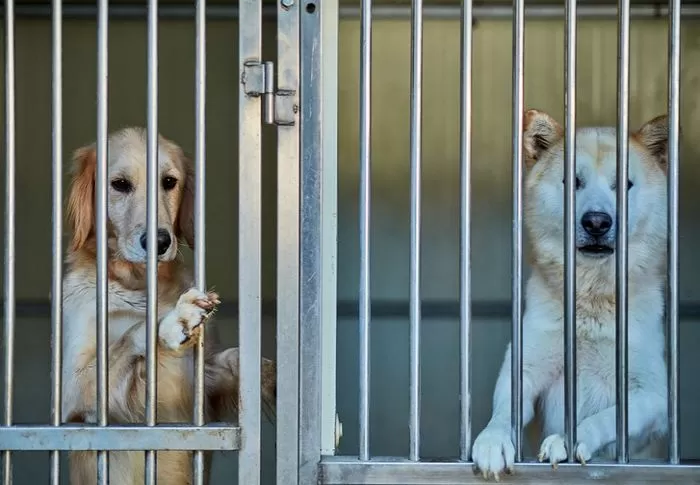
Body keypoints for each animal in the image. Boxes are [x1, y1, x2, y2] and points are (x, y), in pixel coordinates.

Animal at [61, 126, 276, 482]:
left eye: (169, 181)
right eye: (120, 184)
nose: (159, 241)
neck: (139, 284)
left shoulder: (201, 382)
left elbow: (230, 360)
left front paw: (267, 374)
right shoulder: (72, 395)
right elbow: (131, 335)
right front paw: (175, 320)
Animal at [470, 110, 672, 480]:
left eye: (624, 184)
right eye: (572, 182)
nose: (597, 222)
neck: (592, 298)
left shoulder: (655, 397)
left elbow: (606, 418)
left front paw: (568, 441)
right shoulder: (523, 369)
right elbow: (504, 413)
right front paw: (493, 441)